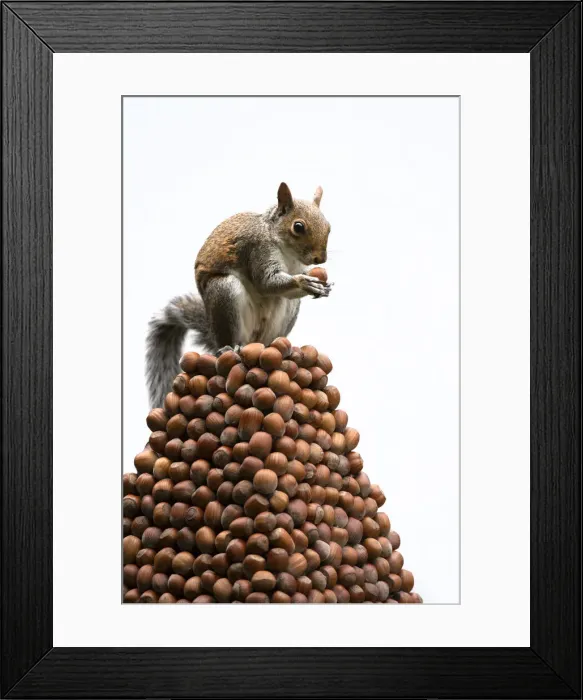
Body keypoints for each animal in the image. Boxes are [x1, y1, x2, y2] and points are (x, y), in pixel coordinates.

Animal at [146, 182, 332, 409]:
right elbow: (266, 283)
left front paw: (321, 286)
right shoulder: (258, 249)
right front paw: (304, 282)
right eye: (298, 227)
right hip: (225, 293)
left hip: (283, 318)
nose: (320, 259)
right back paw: (231, 348)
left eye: (328, 226)